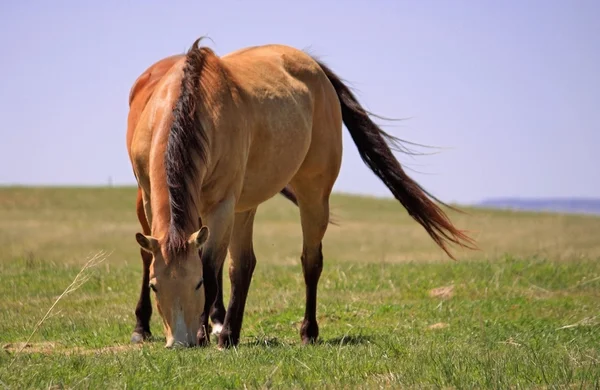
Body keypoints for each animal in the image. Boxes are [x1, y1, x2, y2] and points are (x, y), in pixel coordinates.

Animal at [124, 38, 476, 348]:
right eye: (155, 286)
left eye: (196, 284)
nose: (180, 342)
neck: (190, 107)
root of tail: (314, 66)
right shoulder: (152, 196)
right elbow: (157, 256)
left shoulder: (222, 204)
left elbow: (211, 266)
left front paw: (203, 334)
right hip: (240, 203)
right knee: (242, 265)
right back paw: (223, 332)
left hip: (311, 194)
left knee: (309, 261)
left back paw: (302, 332)